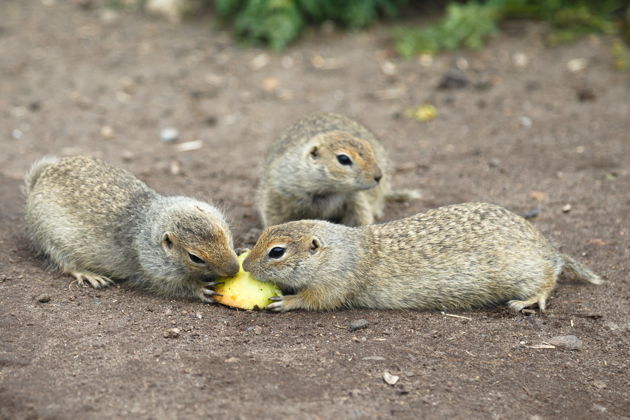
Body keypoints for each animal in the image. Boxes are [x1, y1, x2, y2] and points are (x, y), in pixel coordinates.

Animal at [24, 154, 239, 302]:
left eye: (223, 233)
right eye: (195, 258)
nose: (235, 268)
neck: (151, 221)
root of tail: (38, 180)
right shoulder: (150, 270)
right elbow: (171, 286)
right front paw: (201, 288)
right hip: (50, 239)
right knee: (65, 264)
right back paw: (89, 275)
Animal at [244, 202, 604, 314]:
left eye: (277, 252)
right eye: (263, 234)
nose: (245, 265)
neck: (341, 250)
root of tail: (547, 248)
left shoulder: (335, 283)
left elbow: (316, 300)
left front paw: (287, 301)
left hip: (524, 273)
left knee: (548, 279)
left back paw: (529, 300)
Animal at [254, 111, 422, 228]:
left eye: (369, 148)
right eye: (343, 159)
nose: (378, 176)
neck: (328, 190)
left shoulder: (355, 200)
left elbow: (360, 218)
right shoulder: (277, 194)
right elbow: (274, 218)